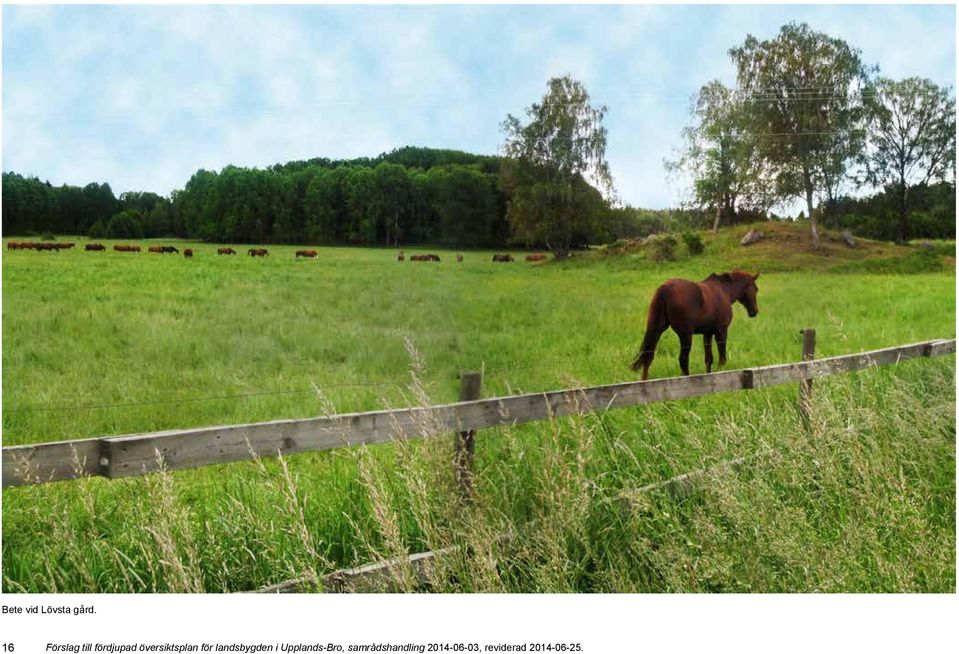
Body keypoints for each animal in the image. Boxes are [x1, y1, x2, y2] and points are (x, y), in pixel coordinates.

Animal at [632, 270, 764, 382]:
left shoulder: (707, 333)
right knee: (683, 359)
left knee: (648, 357)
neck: (724, 290)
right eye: (756, 289)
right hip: (685, 335)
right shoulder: (721, 332)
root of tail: (665, 288)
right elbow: (722, 357)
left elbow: (708, 359)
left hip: (657, 330)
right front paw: (720, 372)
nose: (754, 311)